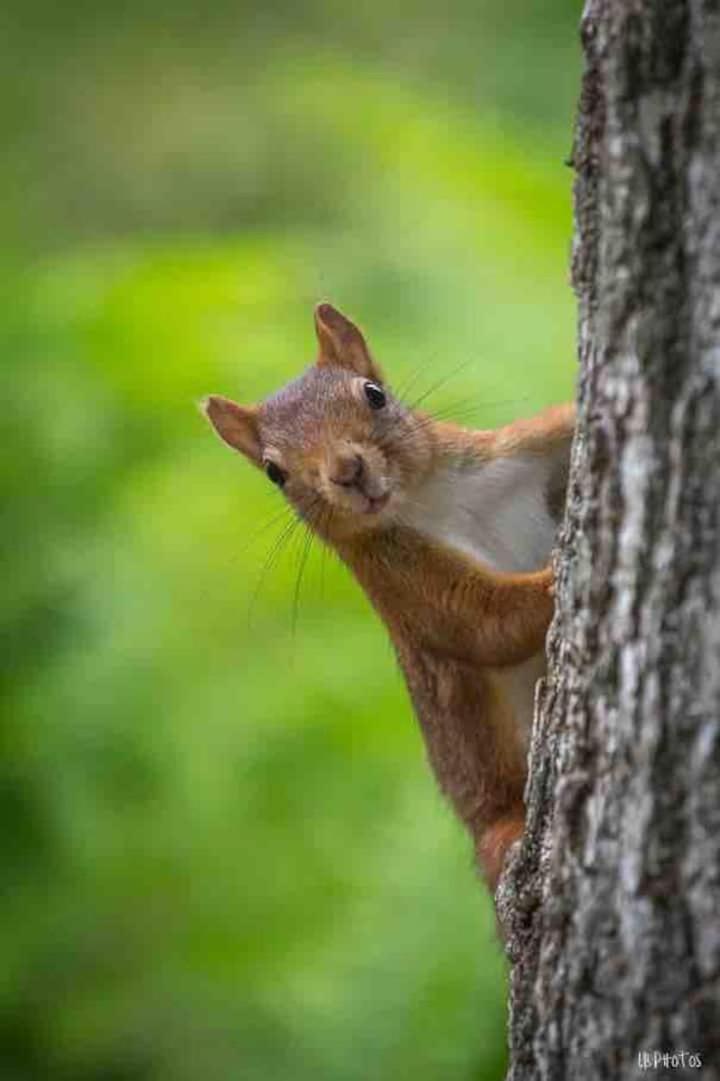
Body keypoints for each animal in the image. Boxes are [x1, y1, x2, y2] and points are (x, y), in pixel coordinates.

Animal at [203, 307, 570, 895]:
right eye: (274, 472)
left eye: (373, 394)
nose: (347, 471)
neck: (430, 498)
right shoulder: (399, 582)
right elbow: (480, 621)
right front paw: (554, 577)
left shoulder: (515, 450)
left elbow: (563, 419)